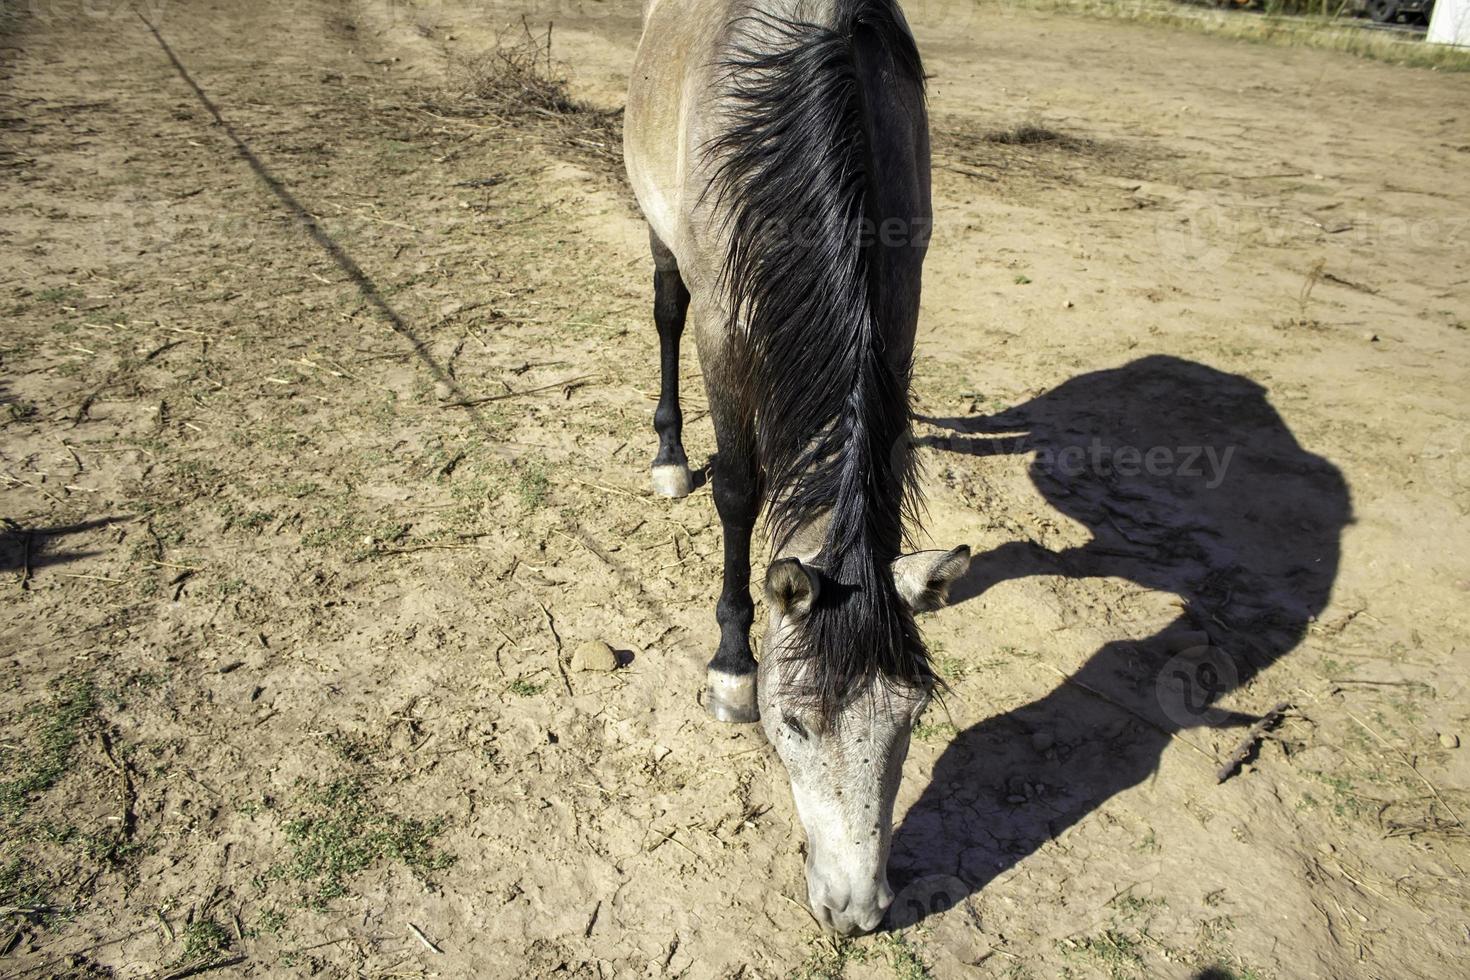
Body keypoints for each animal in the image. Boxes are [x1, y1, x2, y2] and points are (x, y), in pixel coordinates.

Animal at [623, 0, 976, 934]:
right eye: (791, 723)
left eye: (912, 716)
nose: (856, 911)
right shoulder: (724, 323)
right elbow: (740, 491)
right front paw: (729, 665)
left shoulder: (900, 304)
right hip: (662, 239)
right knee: (663, 311)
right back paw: (669, 458)